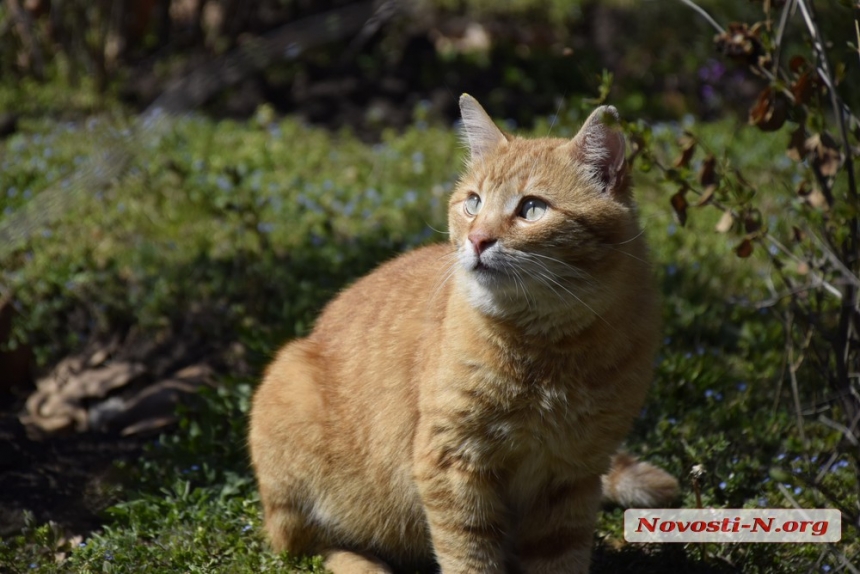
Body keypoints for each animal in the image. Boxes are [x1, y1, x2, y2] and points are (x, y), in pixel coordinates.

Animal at [249, 95, 680, 574]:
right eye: (473, 202)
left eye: (532, 208)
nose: (477, 239)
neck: (546, 348)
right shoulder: (452, 461)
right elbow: (469, 555)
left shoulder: (572, 473)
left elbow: (558, 558)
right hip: (290, 400)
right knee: (305, 544)